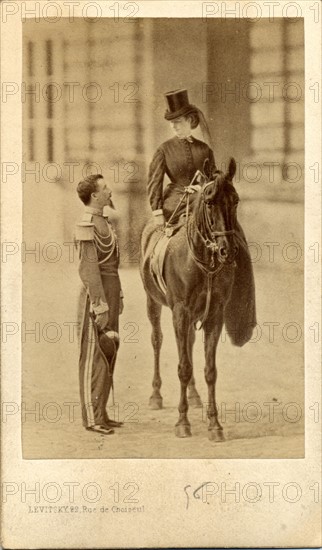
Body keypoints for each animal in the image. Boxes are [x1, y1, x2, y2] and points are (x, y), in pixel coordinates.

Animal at [140, 160, 255, 444]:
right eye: (210, 201)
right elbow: (183, 367)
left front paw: (215, 425)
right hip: (153, 302)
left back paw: (193, 396)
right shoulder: (180, 313)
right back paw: (156, 395)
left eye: (235, 200)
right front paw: (182, 422)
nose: (228, 251)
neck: (204, 261)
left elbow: (209, 370)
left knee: (190, 345)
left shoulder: (214, 315)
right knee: (157, 340)